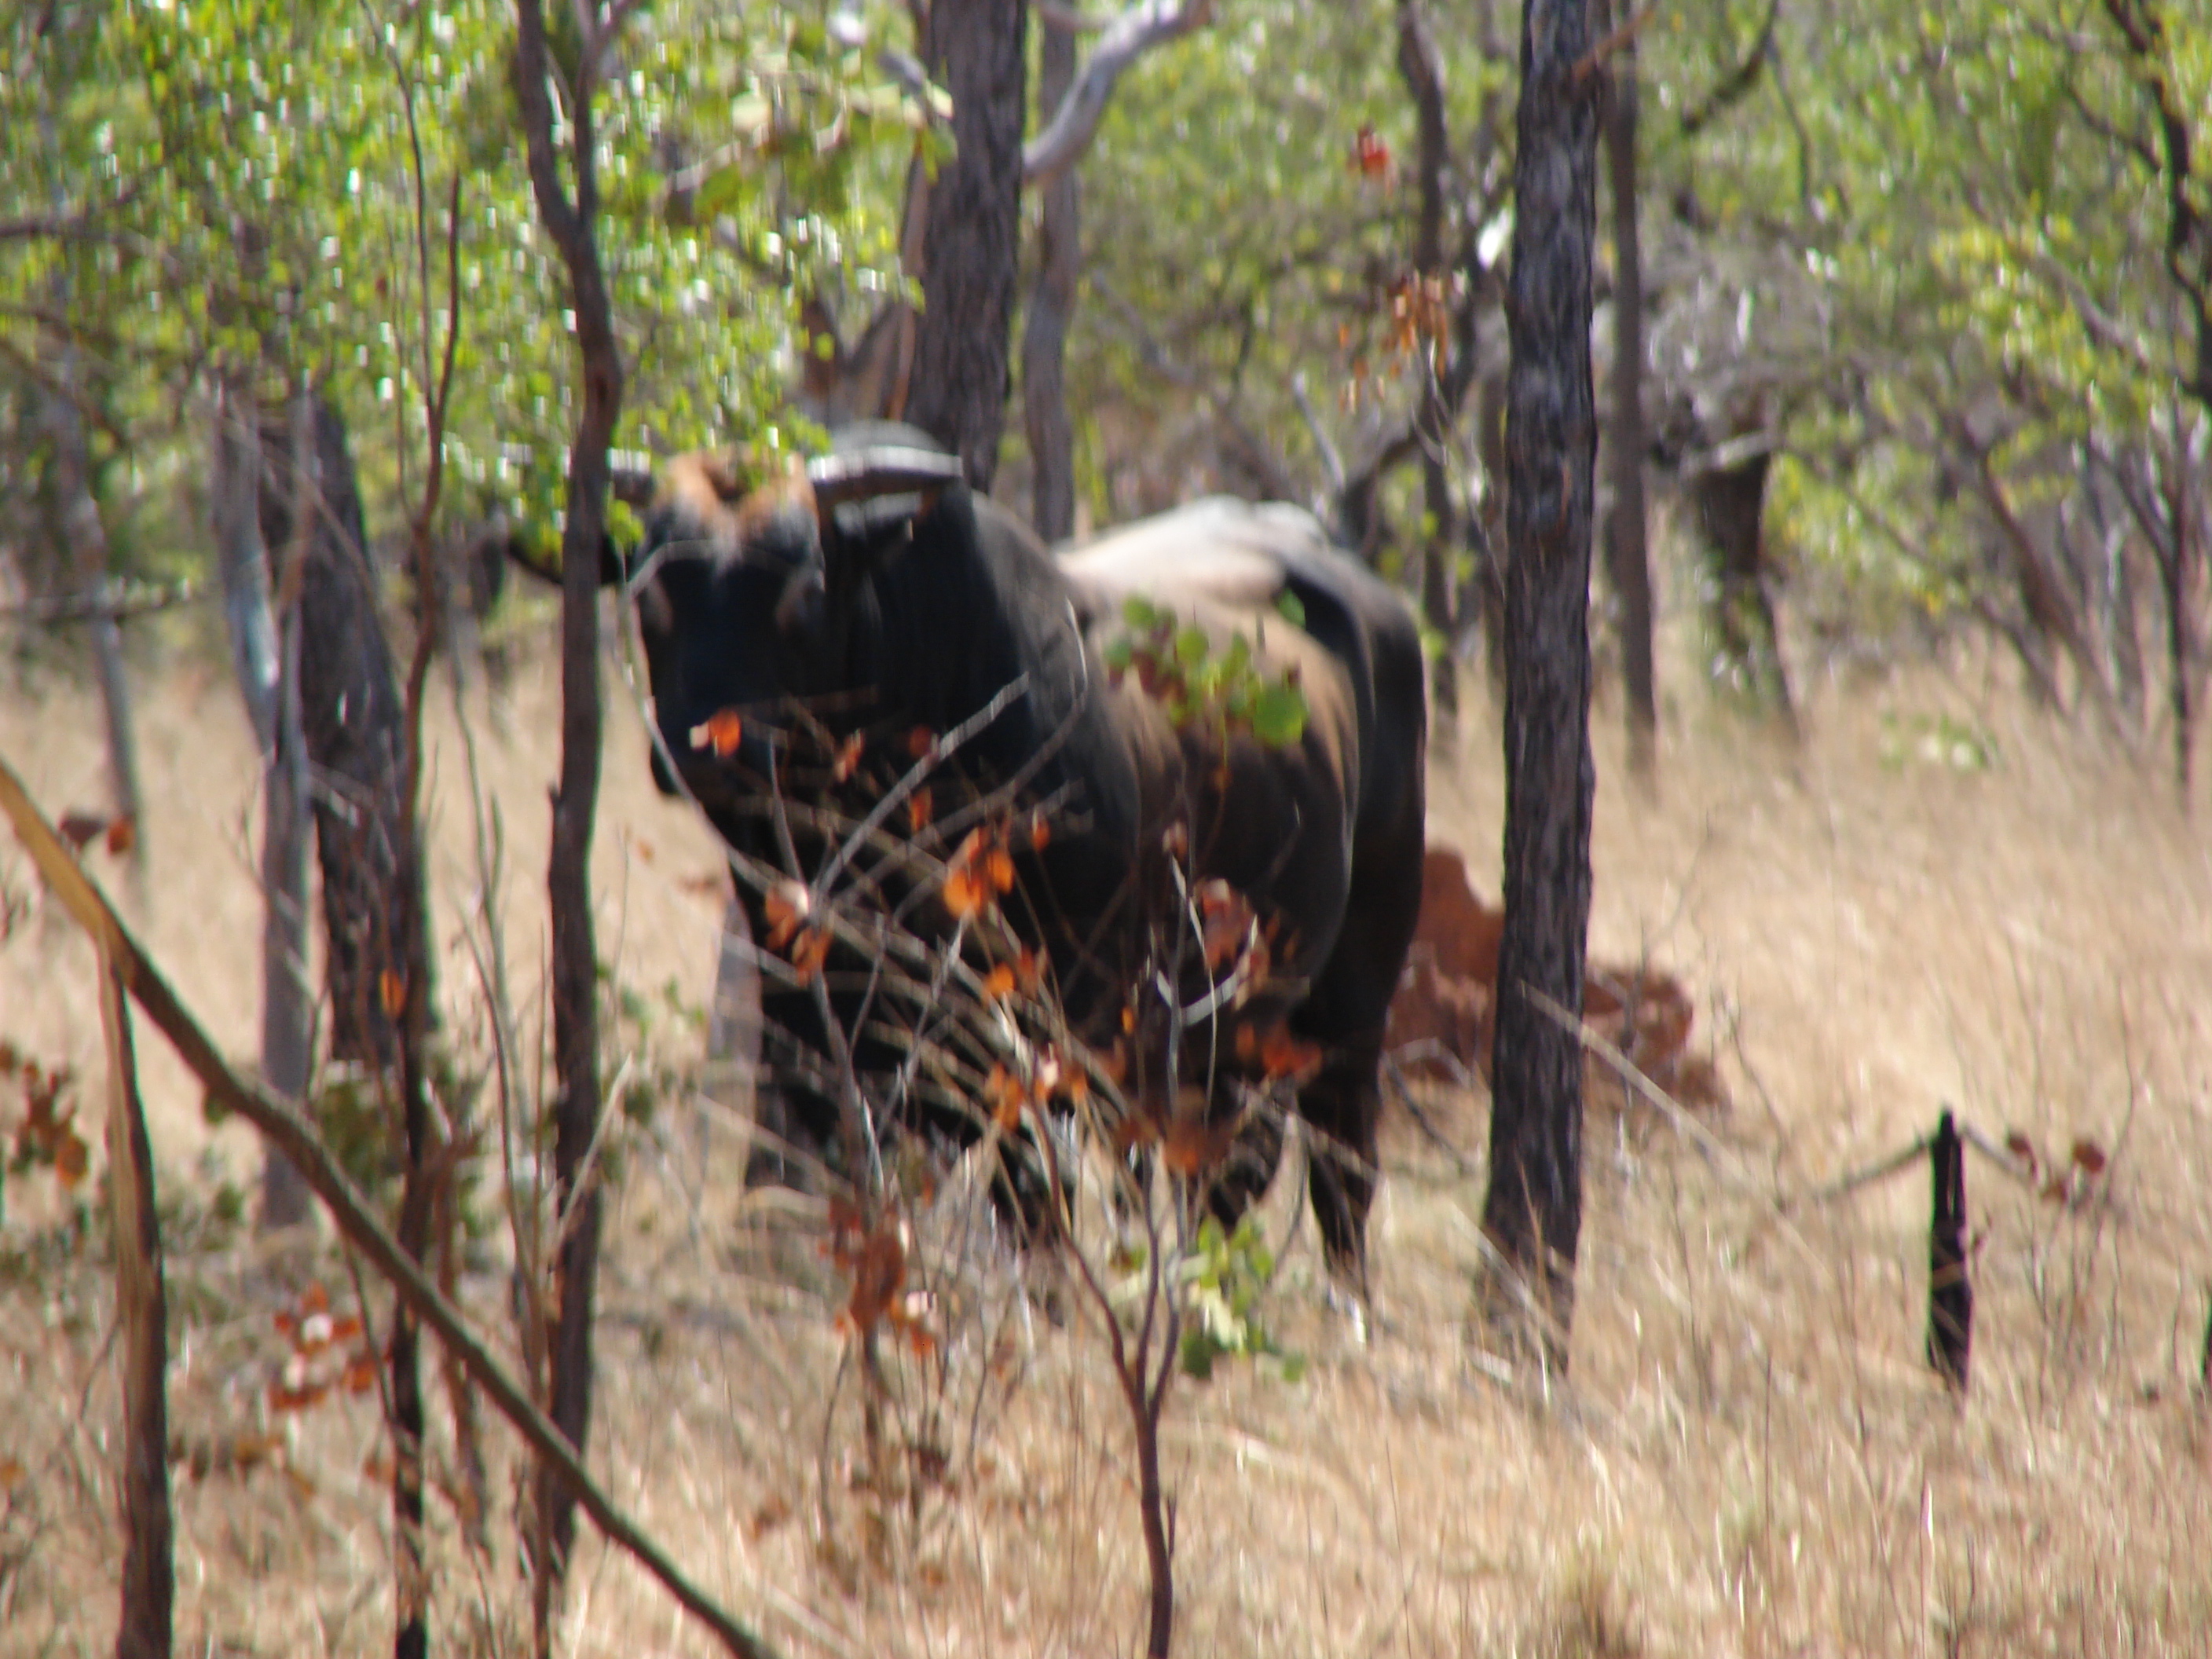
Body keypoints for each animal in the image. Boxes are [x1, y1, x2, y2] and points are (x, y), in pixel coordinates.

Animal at [614, 424, 1424, 1283]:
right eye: (647, 594)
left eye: (803, 592)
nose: (701, 748)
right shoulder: (813, 1010)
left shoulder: (1055, 1018)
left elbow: (1032, 1195)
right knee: (1226, 1173)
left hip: (1352, 1002)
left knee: (1338, 1175)